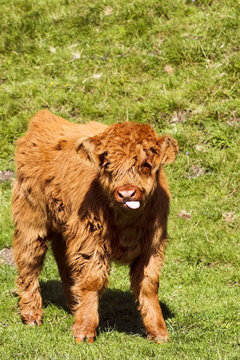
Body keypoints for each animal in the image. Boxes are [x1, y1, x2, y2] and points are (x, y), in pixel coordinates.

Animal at [12, 109, 179, 344]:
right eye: (108, 166)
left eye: (145, 165)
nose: (126, 193)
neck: (126, 223)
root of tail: (44, 118)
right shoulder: (90, 242)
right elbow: (93, 280)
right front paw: (84, 331)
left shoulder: (153, 247)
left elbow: (148, 285)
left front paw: (159, 332)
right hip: (31, 221)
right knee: (29, 263)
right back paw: (32, 315)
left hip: (67, 229)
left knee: (65, 263)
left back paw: (75, 306)